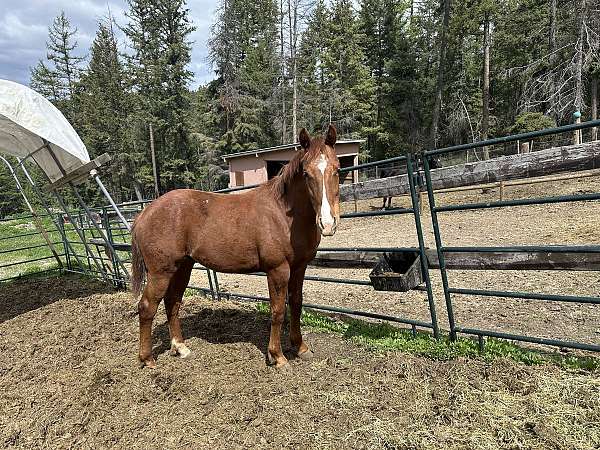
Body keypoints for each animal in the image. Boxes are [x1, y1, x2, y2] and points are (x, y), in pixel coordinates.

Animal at [129, 125, 340, 370]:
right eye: (306, 173)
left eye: (337, 169)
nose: (327, 224)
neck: (283, 214)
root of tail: (145, 213)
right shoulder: (277, 270)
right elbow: (278, 311)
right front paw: (277, 356)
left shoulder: (299, 268)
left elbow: (296, 304)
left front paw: (300, 347)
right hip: (160, 272)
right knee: (147, 307)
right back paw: (147, 358)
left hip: (182, 267)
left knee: (173, 302)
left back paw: (180, 348)